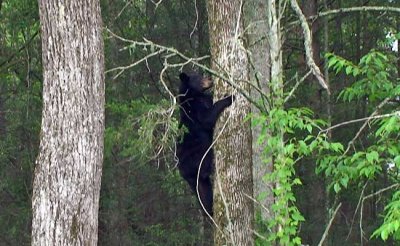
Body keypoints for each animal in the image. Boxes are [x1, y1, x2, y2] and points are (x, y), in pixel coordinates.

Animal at [176, 71, 234, 215]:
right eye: (198, 77)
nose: (209, 78)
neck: (194, 96)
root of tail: (183, 173)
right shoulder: (195, 111)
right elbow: (207, 117)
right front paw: (230, 97)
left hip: (196, 179)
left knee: (204, 191)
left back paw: (210, 210)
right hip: (196, 155)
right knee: (204, 167)